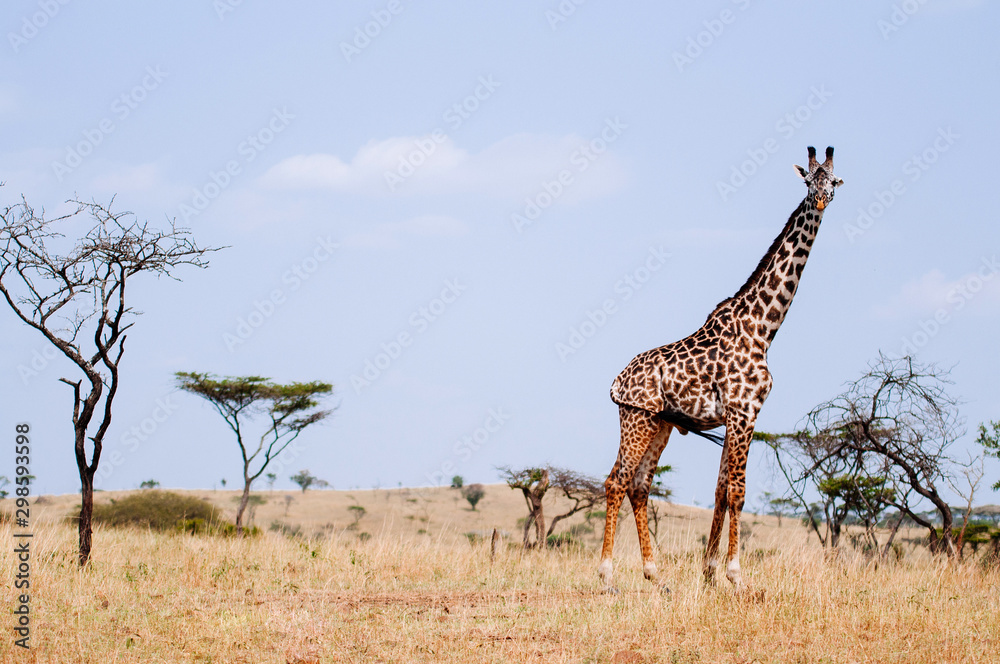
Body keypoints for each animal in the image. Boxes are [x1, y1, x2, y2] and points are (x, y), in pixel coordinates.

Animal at [598, 146, 843, 592]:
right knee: (616, 481)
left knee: (639, 485)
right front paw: (736, 574)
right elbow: (739, 492)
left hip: (659, 424)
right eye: (807, 181)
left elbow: (720, 490)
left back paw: (655, 573)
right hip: (636, 419)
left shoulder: (738, 416)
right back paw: (607, 575)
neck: (763, 327)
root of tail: (616, 381)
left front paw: (710, 571)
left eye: (833, 181)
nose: (820, 200)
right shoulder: (744, 412)